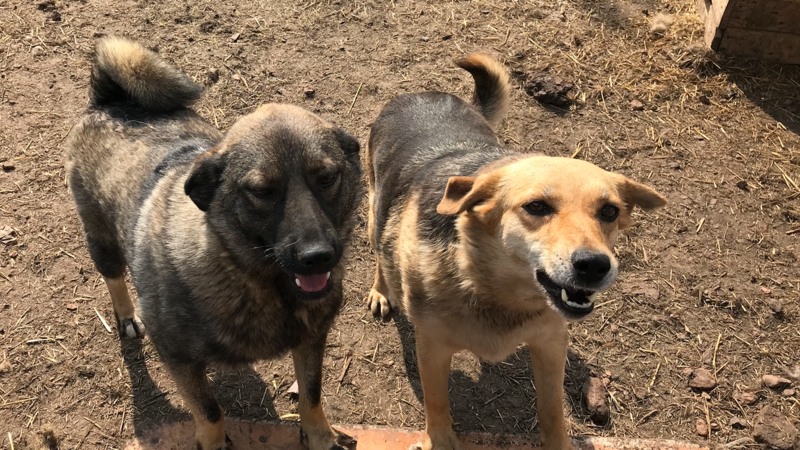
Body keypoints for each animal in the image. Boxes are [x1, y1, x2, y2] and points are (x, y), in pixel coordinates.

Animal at [65, 37, 361, 450]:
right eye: (261, 192)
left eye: (328, 178)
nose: (317, 257)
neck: (251, 278)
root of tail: (111, 101)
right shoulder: (179, 360)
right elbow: (209, 411)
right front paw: (214, 441)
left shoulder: (311, 339)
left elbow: (312, 395)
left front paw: (320, 436)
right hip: (102, 242)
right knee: (114, 279)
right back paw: (126, 316)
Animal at [365, 53, 666, 450]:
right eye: (536, 206)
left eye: (609, 212)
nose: (594, 265)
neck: (495, 290)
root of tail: (422, 94)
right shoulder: (432, 347)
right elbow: (437, 403)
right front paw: (441, 440)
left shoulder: (551, 342)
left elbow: (553, 410)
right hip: (374, 209)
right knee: (379, 251)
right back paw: (381, 290)